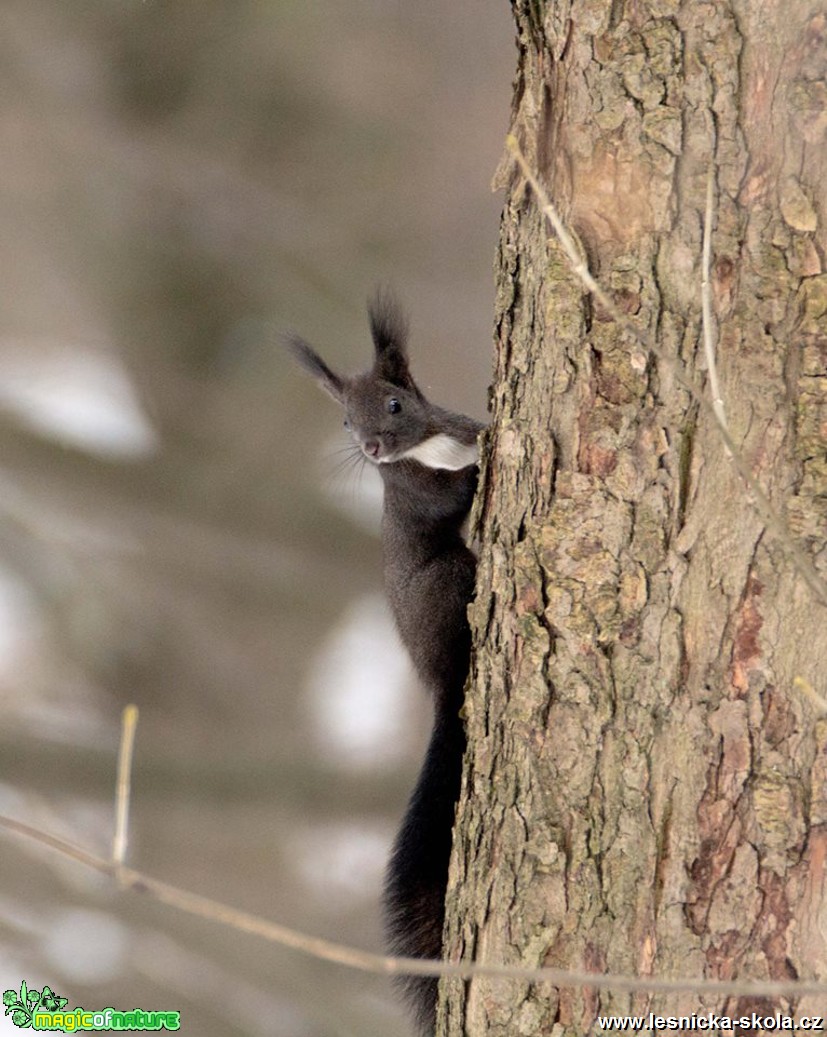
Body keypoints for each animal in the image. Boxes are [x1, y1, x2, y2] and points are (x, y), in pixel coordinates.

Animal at [286, 288, 483, 1032]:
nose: (369, 448)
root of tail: (440, 685)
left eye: (394, 402)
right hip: (448, 580)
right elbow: (451, 493)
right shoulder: (416, 491)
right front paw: (482, 469)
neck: (430, 445)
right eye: (345, 417)